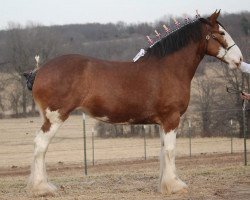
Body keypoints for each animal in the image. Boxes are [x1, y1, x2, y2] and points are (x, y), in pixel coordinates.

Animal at [24, 10, 242, 195]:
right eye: (221, 32)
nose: (239, 59)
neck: (168, 69)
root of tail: (40, 70)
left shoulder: (163, 122)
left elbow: (162, 151)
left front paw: (163, 185)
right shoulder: (171, 119)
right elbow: (170, 151)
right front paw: (175, 185)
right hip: (55, 117)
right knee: (41, 145)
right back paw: (42, 188)